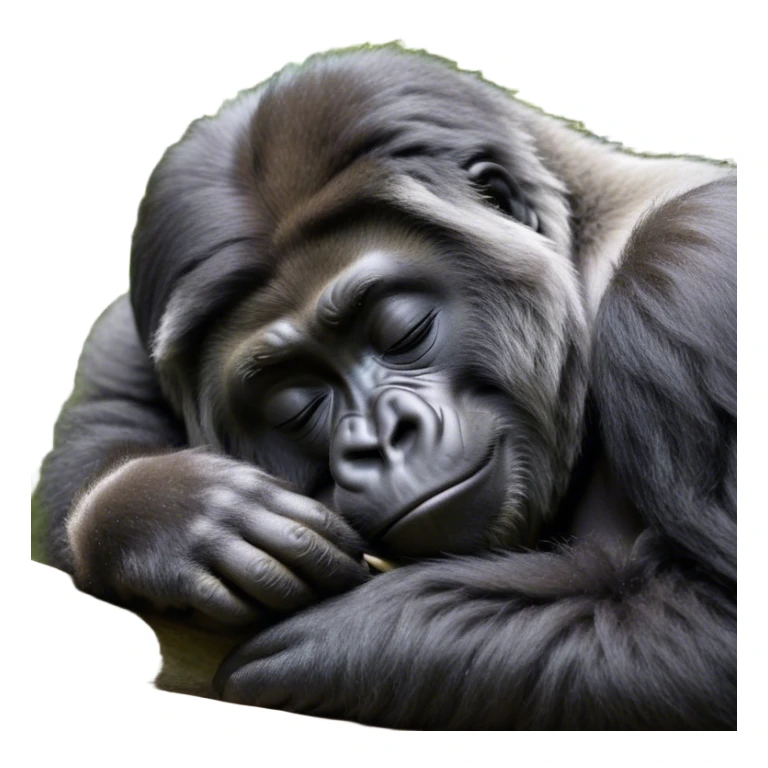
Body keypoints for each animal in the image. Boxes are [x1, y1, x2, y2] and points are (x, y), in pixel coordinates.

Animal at [33, 45, 736, 729]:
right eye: (296, 403)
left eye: (405, 331)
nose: (382, 439)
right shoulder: (127, 333)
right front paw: (167, 515)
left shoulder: (691, 263)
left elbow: (713, 621)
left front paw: (331, 646)